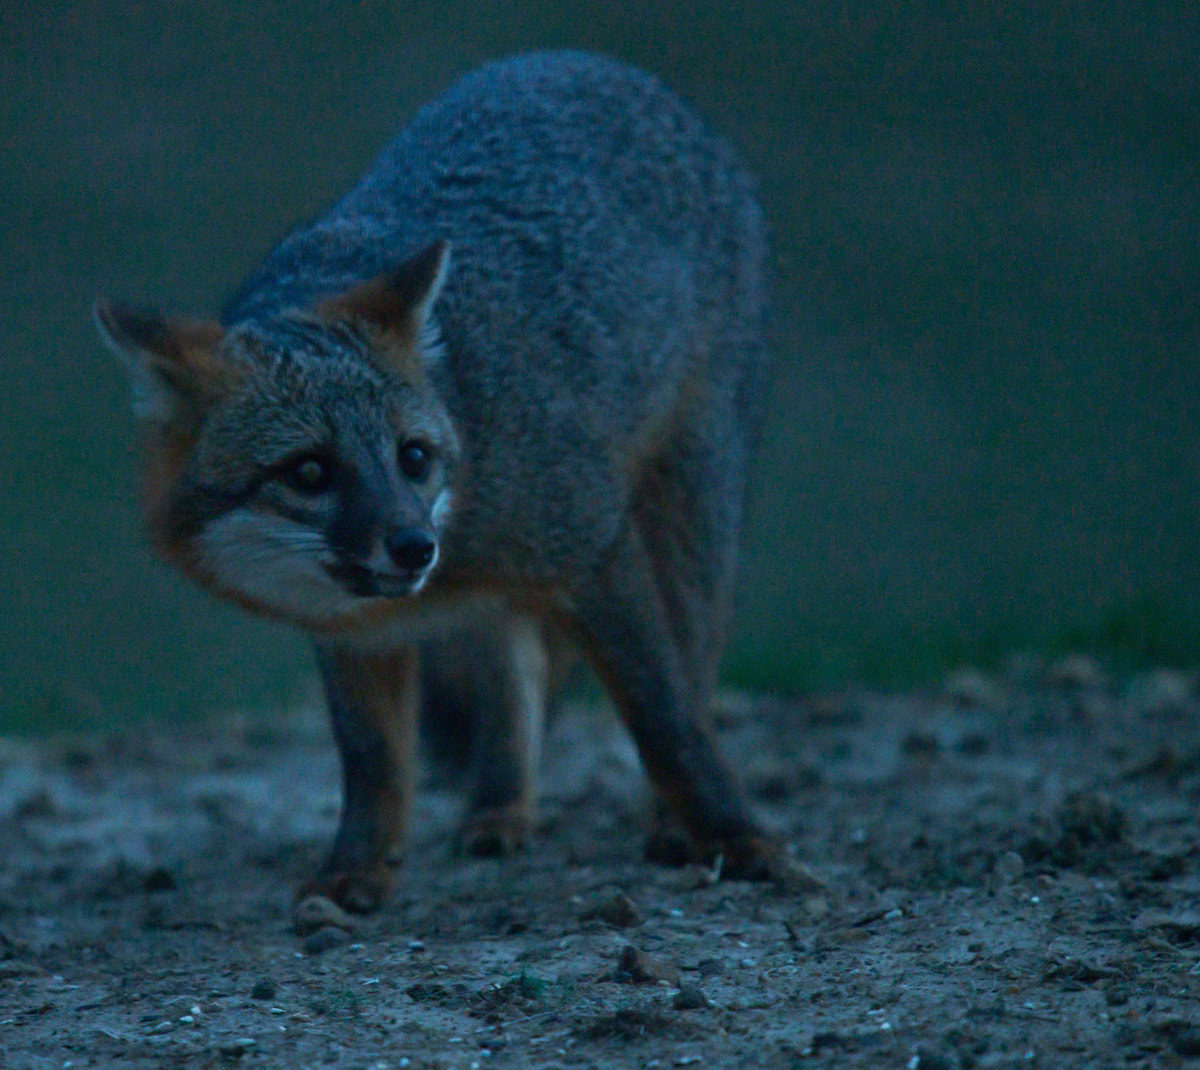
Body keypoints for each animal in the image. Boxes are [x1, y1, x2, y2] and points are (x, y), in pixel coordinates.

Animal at [95, 50, 809, 913]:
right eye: (309, 471)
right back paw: (499, 808)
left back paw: (667, 824)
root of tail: (590, 64)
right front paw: (357, 872)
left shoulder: (595, 547)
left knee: (693, 665)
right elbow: (373, 764)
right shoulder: (351, 631)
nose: (412, 547)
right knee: (513, 679)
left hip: (691, 508)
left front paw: (738, 839)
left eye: (412, 457)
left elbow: (664, 715)